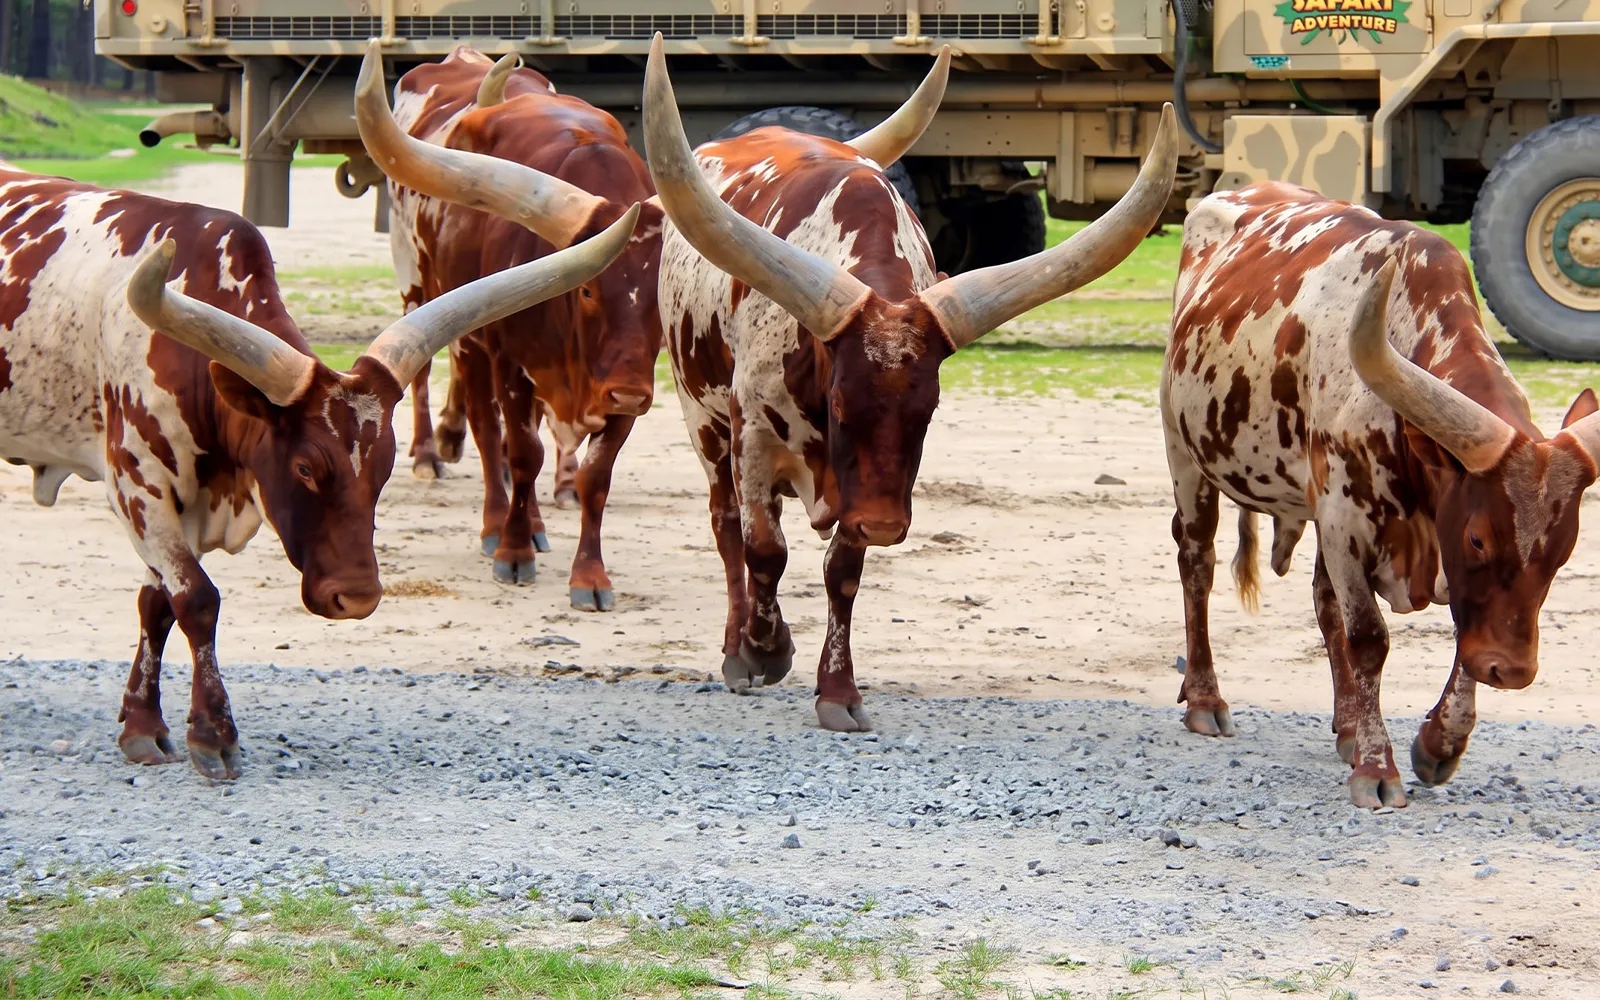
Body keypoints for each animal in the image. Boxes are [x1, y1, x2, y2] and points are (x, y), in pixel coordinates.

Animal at [0, 161, 638, 779]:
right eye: (305, 467)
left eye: (386, 466)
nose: (356, 598)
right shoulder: (138, 486)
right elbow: (197, 600)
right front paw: (214, 735)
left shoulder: (192, 503)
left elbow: (158, 605)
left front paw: (141, 725)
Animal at [357, 42, 664, 611]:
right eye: (588, 290)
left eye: (663, 297)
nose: (630, 394)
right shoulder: (511, 363)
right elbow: (520, 453)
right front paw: (513, 551)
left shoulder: (620, 386)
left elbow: (596, 476)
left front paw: (590, 576)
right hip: (427, 290)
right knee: (473, 417)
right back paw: (459, 484)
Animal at [642, 34, 1179, 731]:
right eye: (842, 404)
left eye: (928, 414)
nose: (886, 526)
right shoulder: (753, 433)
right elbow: (763, 549)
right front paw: (764, 651)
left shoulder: (868, 483)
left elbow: (843, 570)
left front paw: (838, 692)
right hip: (699, 414)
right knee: (725, 523)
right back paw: (738, 649)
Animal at [1162, 182, 1600, 808]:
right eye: (1478, 539)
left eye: (1564, 551)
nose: (1511, 671)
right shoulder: (1345, 522)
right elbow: (1369, 638)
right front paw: (1376, 767)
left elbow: (1460, 629)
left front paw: (1439, 743)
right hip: (1186, 456)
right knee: (1197, 563)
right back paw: (1204, 698)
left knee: (1324, 602)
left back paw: (1347, 724)